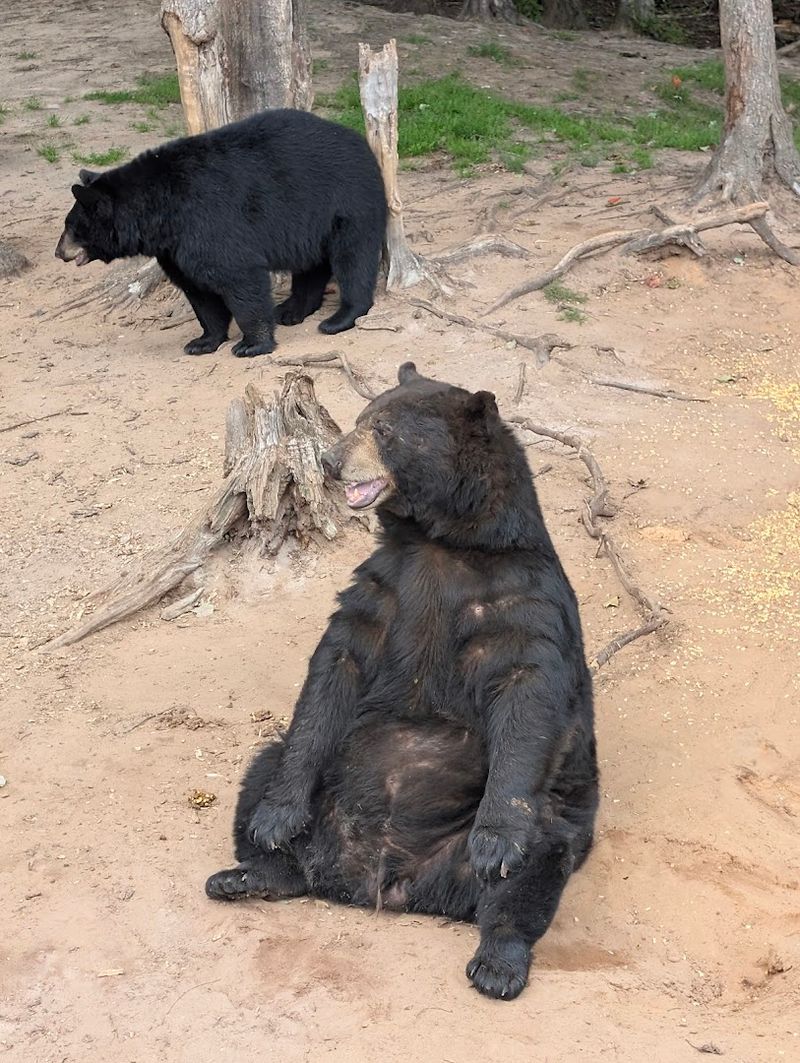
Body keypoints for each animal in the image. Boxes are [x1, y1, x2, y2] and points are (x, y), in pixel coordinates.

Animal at [55, 109, 388, 357]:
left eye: (71, 227)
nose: (59, 252)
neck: (160, 210)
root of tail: (358, 139)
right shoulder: (174, 247)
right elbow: (198, 291)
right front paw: (202, 341)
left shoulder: (208, 221)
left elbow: (238, 276)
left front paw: (252, 344)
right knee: (311, 265)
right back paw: (292, 310)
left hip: (346, 200)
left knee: (353, 258)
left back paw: (340, 317)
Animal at [205, 363, 599, 1000]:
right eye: (359, 419)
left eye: (385, 430)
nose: (332, 461)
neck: (441, 542)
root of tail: (381, 884)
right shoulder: (385, 588)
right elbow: (335, 665)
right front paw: (275, 820)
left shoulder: (521, 598)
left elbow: (528, 690)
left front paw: (495, 844)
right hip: (315, 794)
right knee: (265, 768)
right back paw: (253, 871)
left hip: (552, 816)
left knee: (534, 867)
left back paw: (498, 961)